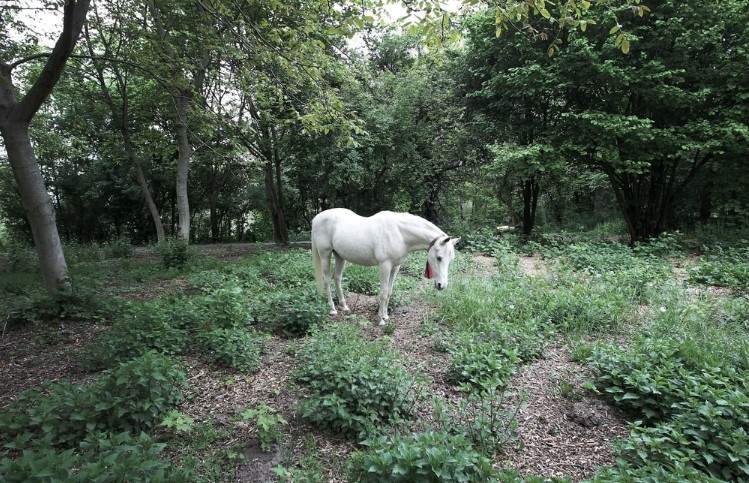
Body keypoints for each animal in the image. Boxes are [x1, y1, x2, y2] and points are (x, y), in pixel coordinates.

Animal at [308, 208, 458, 326]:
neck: (399, 233)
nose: (441, 285)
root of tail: (316, 218)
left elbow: (389, 292)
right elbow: (383, 293)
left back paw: (344, 307)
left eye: (451, 259)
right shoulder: (385, 266)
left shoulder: (395, 267)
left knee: (337, 278)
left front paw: (386, 316)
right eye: (439, 258)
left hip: (340, 256)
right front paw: (381, 320)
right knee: (327, 280)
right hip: (325, 255)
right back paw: (332, 309)